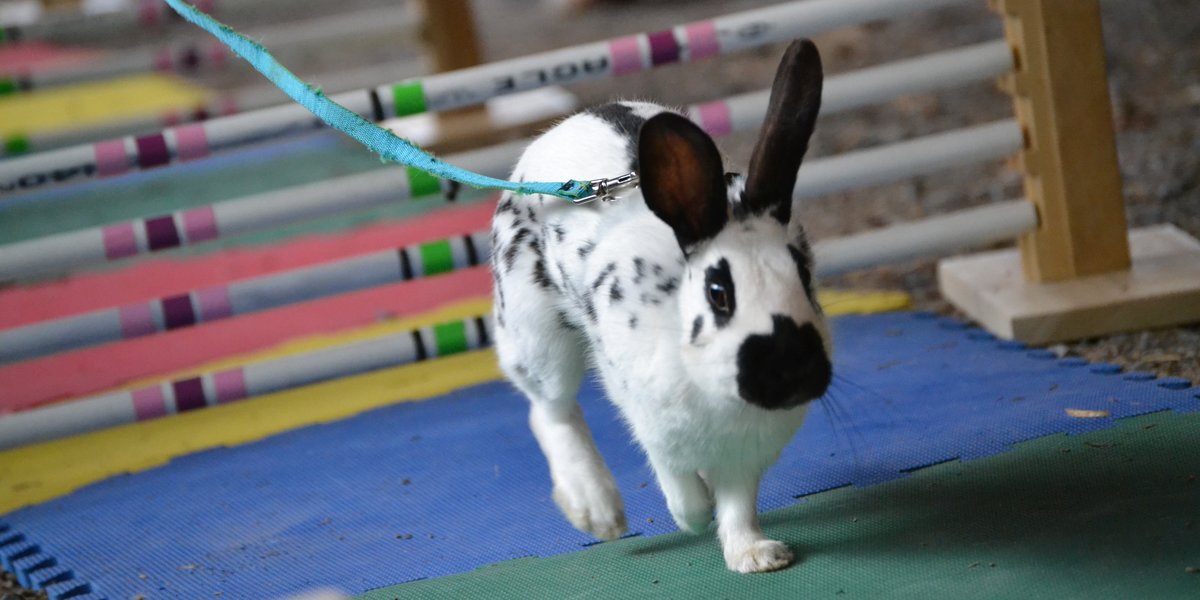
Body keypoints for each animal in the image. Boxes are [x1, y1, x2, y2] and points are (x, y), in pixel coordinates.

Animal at [489, 38, 831, 573]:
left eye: (804, 274)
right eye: (718, 292)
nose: (794, 372)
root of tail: (570, 124)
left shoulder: (746, 455)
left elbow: (739, 504)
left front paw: (755, 555)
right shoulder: (651, 421)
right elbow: (679, 484)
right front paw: (695, 514)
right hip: (536, 334)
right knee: (549, 409)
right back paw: (597, 510)